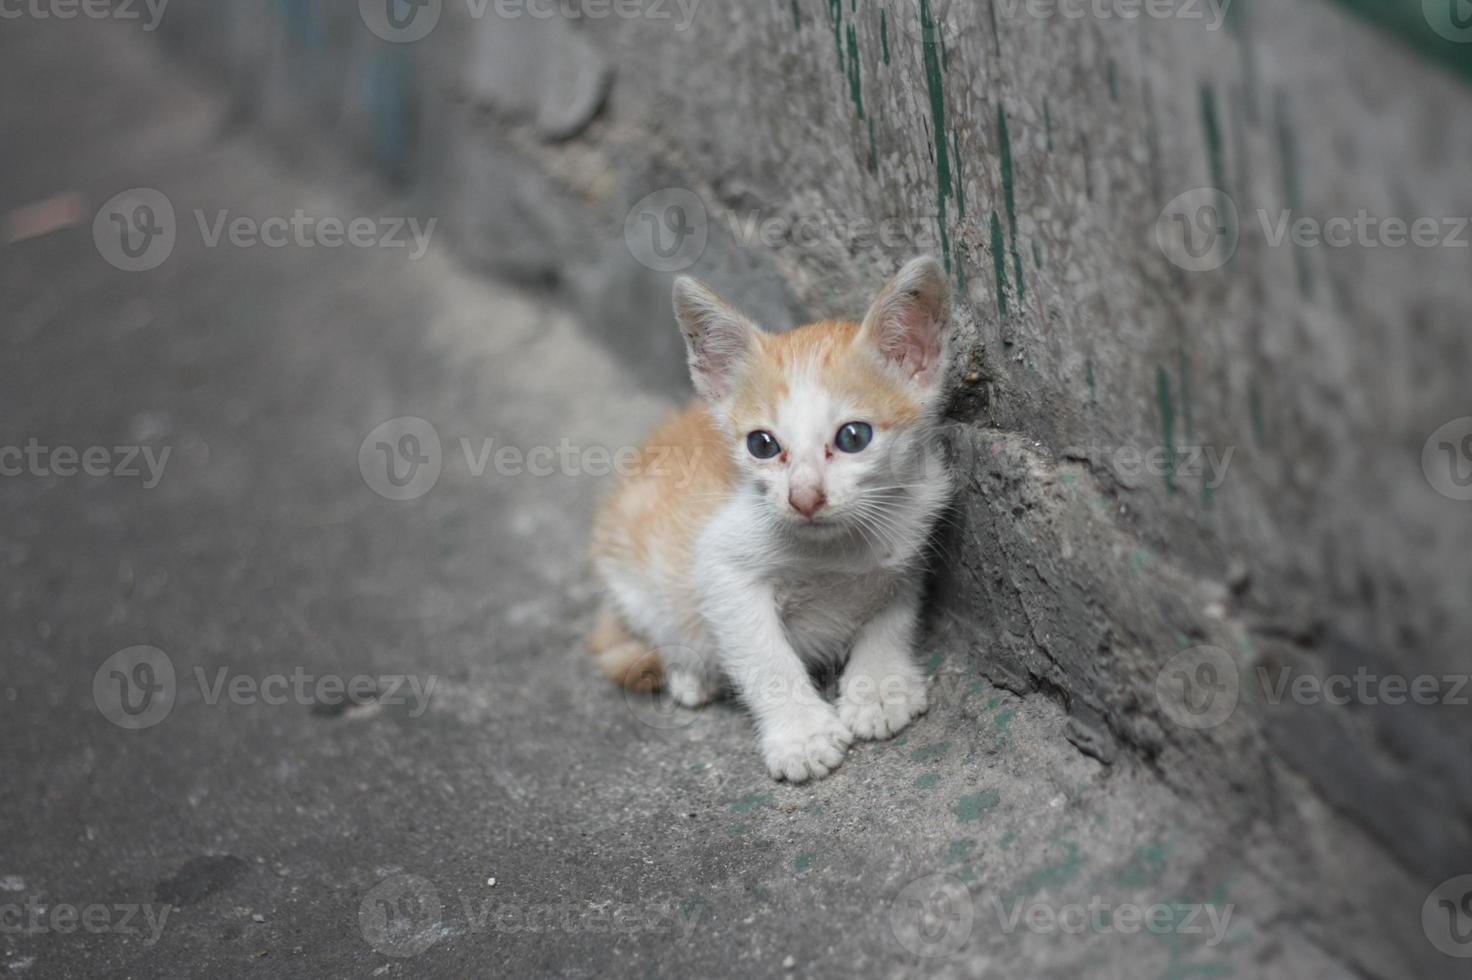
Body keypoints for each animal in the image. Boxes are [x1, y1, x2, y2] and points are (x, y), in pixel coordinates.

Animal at [588, 257, 953, 776]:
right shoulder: (721, 565)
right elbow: (764, 655)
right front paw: (801, 734)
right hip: (635, 578)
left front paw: (880, 685)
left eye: (853, 437)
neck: (834, 548)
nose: (804, 498)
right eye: (762, 445)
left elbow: (894, 611)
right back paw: (690, 673)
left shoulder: (912, 533)